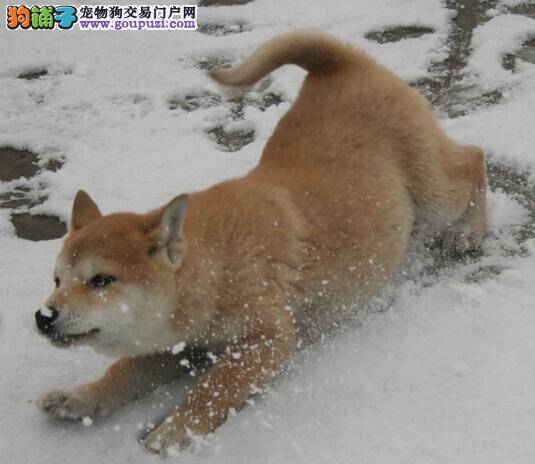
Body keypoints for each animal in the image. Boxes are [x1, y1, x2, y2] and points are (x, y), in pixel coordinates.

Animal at [32, 31, 486, 454]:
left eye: (101, 281)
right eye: (57, 280)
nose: (43, 316)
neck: (216, 263)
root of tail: (342, 63)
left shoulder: (265, 338)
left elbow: (213, 388)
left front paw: (175, 431)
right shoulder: (177, 344)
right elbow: (124, 372)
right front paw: (81, 397)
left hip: (433, 193)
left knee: (473, 160)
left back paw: (472, 229)